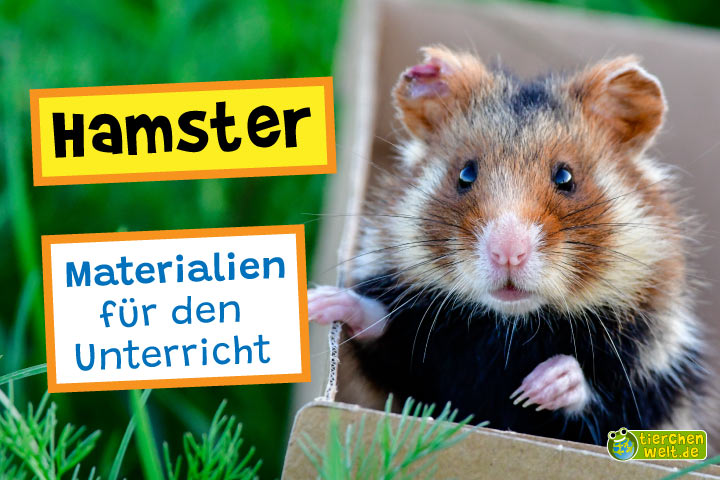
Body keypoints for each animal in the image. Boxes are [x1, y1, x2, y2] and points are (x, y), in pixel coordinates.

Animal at [309, 46, 711, 445]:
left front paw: (537, 387)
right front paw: (321, 303)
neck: (508, 329)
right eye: (465, 173)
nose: (507, 254)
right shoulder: (413, 363)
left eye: (566, 177)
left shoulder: (654, 374)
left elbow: (605, 400)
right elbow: (381, 328)